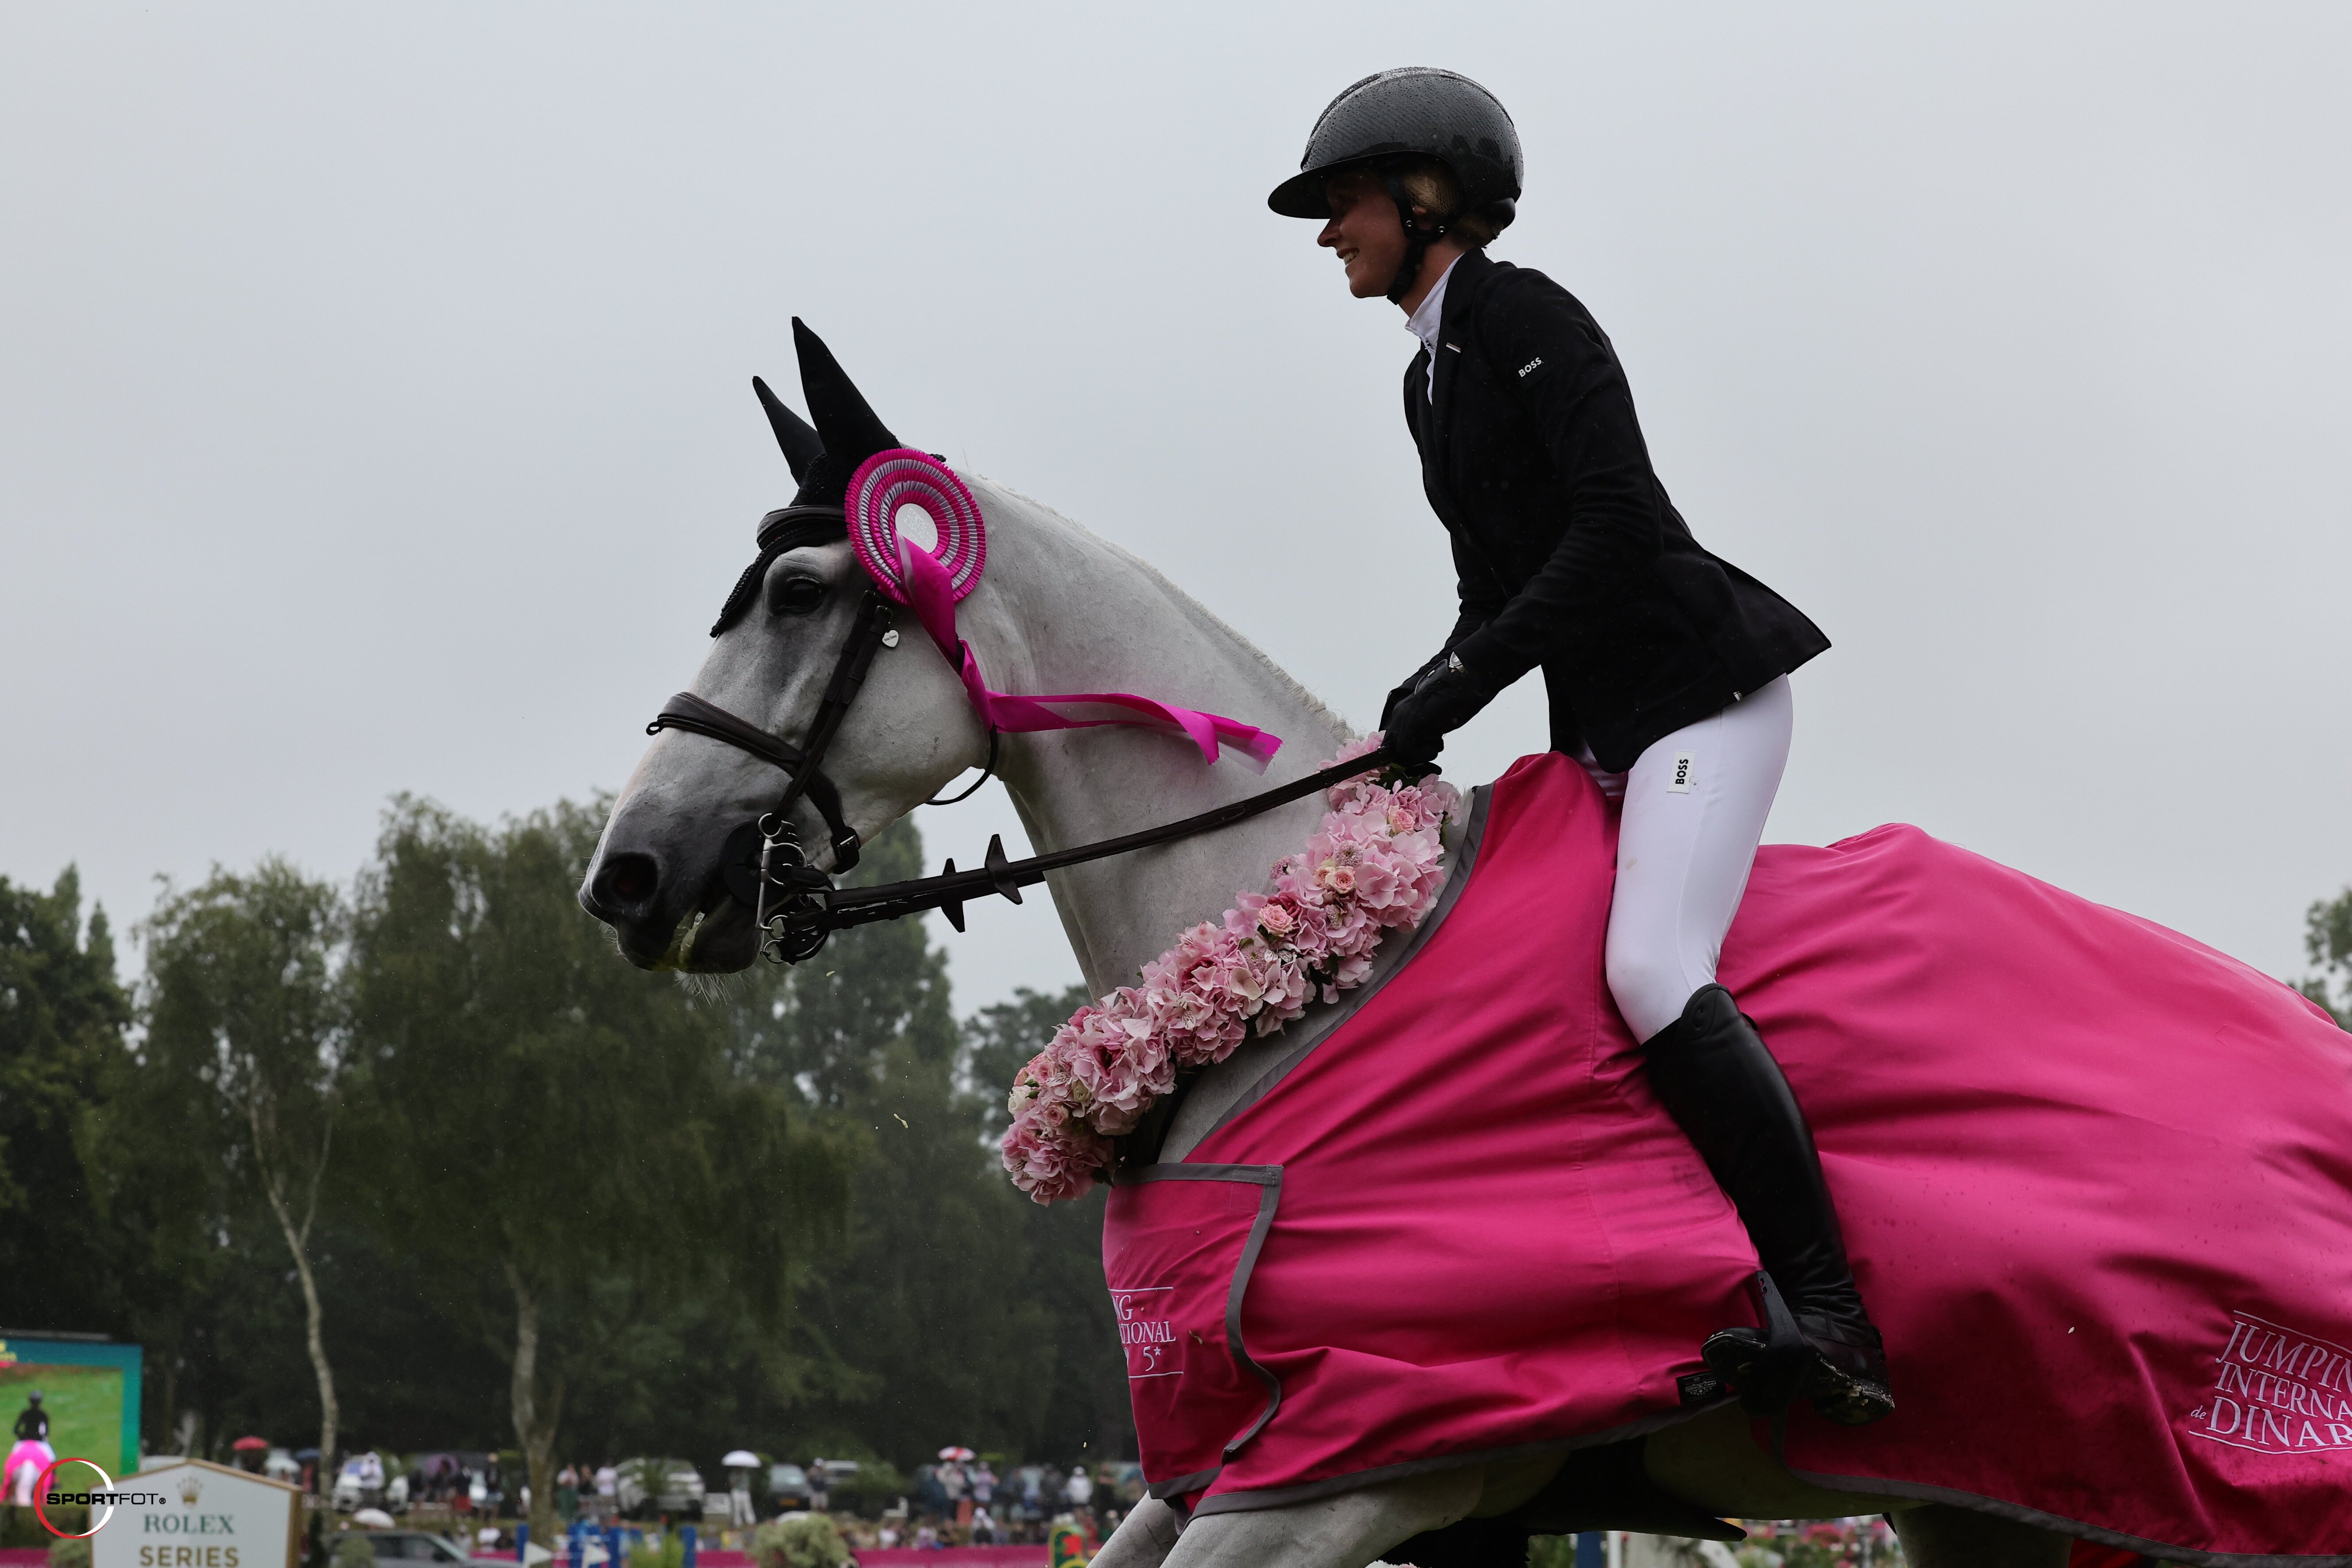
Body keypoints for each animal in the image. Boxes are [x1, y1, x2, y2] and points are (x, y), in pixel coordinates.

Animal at [580, 340, 2350, 1568]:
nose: (627, 876)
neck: (1297, 971)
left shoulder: (1369, 1456)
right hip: (1995, 1495)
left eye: (797, 590)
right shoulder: (1242, 1458)